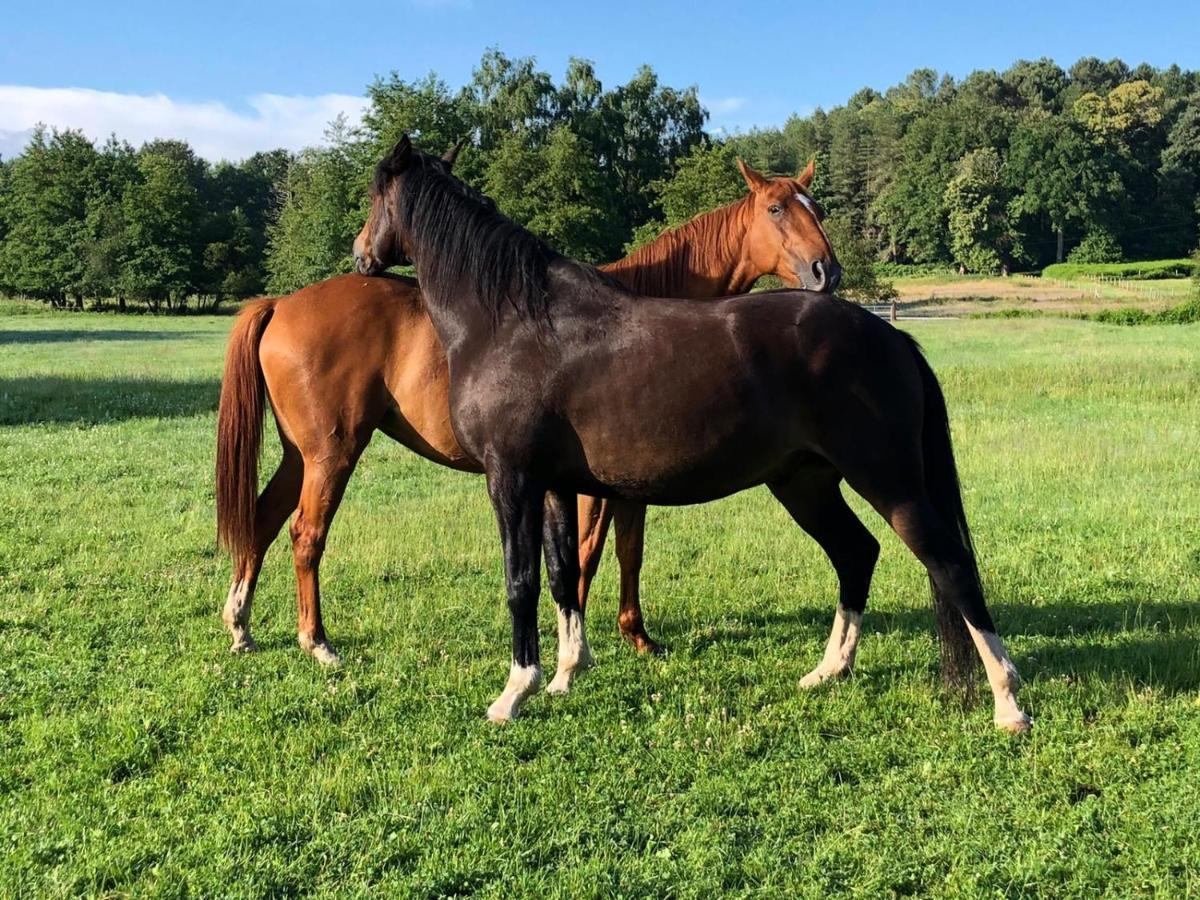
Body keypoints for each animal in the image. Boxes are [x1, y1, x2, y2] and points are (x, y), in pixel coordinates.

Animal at [216, 150, 840, 672]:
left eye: (817, 208)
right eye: (778, 208)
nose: (826, 272)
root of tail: (281, 303)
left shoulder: (627, 482)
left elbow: (629, 552)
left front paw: (634, 635)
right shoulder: (588, 486)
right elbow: (585, 554)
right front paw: (578, 639)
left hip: (301, 454)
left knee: (264, 520)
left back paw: (242, 626)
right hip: (332, 452)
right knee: (306, 533)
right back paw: (317, 641)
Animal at [350, 139, 1032, 734]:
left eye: (373, 195)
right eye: (779, 209)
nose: (359, 255)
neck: (513, 321)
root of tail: (891, 336)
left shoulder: (511, 480)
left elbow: (522, 582)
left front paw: (514, 693)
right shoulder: (555, 487)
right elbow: (563, 573)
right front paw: (566, 675)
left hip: (889, 482)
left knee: (950, 564)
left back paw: (1008, 702)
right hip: (805, 484)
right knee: (856, 553)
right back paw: (829, 671)